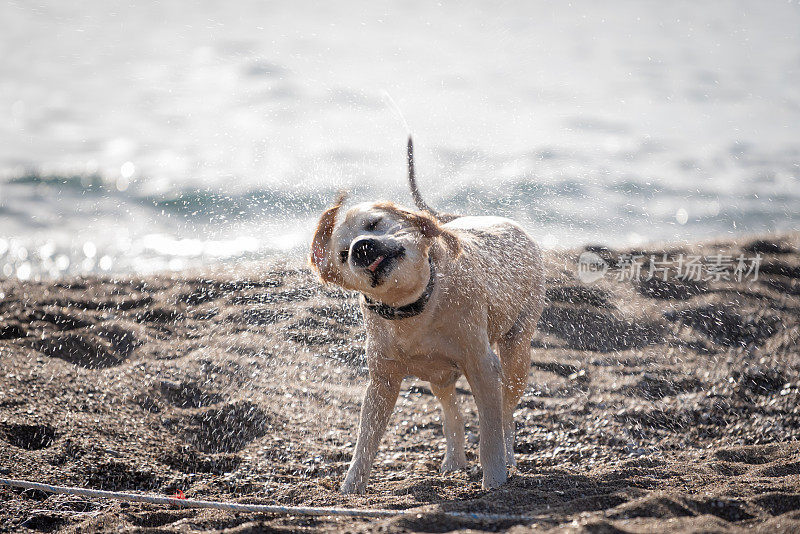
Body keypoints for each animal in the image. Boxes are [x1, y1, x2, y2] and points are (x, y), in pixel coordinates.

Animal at [308, 139, 544, 494]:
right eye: (342, 254)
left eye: (374, 224)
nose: (361, 249)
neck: (415, 305)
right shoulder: (382, 382)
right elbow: (365, 441)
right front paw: (351, 487)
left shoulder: (483, 367)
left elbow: (490, 432)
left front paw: (494, 480)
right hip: (439, 374)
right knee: (451, 412)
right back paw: (454, 460)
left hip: (517, 353)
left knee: (506, 414)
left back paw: (509, 456)